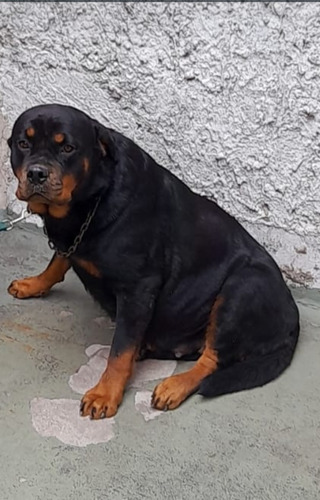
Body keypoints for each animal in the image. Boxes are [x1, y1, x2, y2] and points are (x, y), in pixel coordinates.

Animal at [6, 104, 300, 418]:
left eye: (68, 148)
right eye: (23, 143)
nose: (37, 173)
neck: (92, 199)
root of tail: (293, 321)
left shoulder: (138, 289)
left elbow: (120, 351)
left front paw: (105, 393)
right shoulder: (71, 239)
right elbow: (57, 261)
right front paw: (34, 283)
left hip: (244, 285)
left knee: (211, 360)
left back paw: (174, 386)